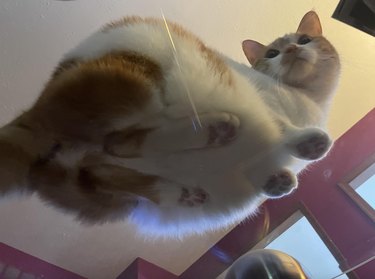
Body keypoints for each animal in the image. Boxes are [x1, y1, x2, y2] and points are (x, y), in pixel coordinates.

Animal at [0, 11, 340, 238]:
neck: (304, 99)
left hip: (102, 183)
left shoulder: (254, 163)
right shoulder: (263, 101)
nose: (293, 49)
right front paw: (309, 143)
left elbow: (260, 170)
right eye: (272, 53)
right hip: (143, 76)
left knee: (102, 165)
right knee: (119, 142)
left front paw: (277, 181)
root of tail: (38, 105)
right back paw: (215, 129)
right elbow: (283, 129)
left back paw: (181, 191)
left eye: (305, 39)